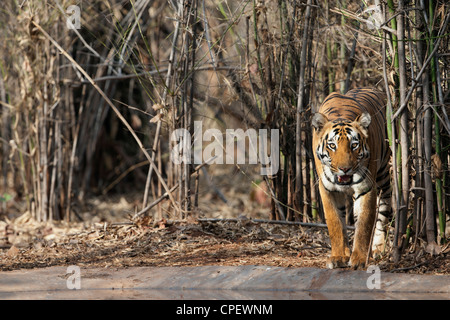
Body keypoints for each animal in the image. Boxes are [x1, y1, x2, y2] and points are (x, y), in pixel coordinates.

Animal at [312, 88, 390, 270]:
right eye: (332, 145)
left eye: (354, 145)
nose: (345, 168)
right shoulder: (327, 189)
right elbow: (335, 223)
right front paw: (338, 257)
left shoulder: (366, 187)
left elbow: (364, 225)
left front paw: (359, 260)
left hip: (384, 175)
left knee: (383, 212)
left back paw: (377, 249)